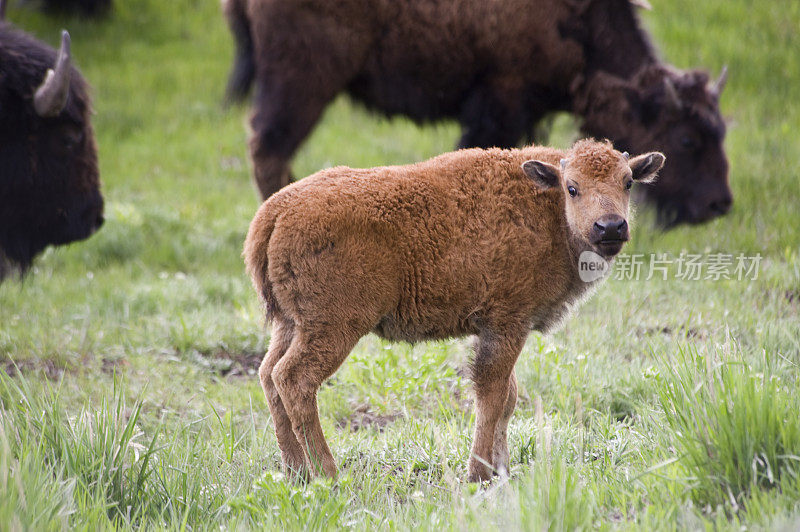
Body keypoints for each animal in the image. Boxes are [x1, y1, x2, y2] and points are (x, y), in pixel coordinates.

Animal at [223, 0, 732, 227]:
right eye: (686, 137)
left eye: (720, 129)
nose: (719, 203)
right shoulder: (501, 100)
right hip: (302, 83)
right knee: (269, 147)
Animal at [244, 139, 664, 480]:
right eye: (572, 187)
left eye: (628, 182)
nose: (610, 227)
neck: (547, 207)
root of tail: (275, 211)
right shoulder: (507, 324)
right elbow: (493, 394)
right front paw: (479, 472)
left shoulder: (503, 329)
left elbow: (508, 397)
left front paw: (502, 467)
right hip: (334, 328)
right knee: (294, 380)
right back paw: (329, 473)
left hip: (291, 324)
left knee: (268, 375)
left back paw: (296, 472)